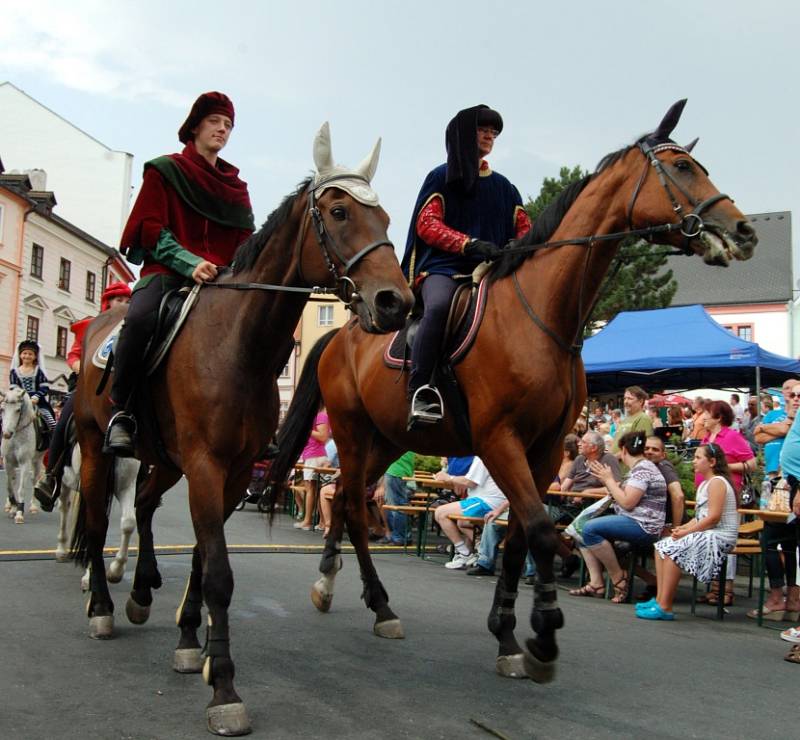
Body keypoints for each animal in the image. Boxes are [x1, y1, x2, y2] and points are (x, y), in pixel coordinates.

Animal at [69, 124, 412, 736]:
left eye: (388, 218)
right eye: (340, 211)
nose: (396, 302)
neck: (238, 347)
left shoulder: (227, 475)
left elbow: (204, 560)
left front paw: (192, 643)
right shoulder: (206, 467)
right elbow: (220, 575)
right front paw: (224, 688)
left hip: (164, 461)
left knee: (146, 508)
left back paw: (141, 592)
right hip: (95, 447)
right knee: (95, 515)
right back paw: (104, 607)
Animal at [268, 98, 756, 684]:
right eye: (683, 167)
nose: (743, 230)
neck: (541, 318)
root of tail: (342, 334)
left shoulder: (542, 451)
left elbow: (522, 535)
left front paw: (507, 635)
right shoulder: (501, 441)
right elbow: (542, 532)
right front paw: (541, 638)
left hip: (387, 439)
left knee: (348, 499)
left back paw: (351, 592)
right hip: (353, 429)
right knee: (350, 505)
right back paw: (360, 599)